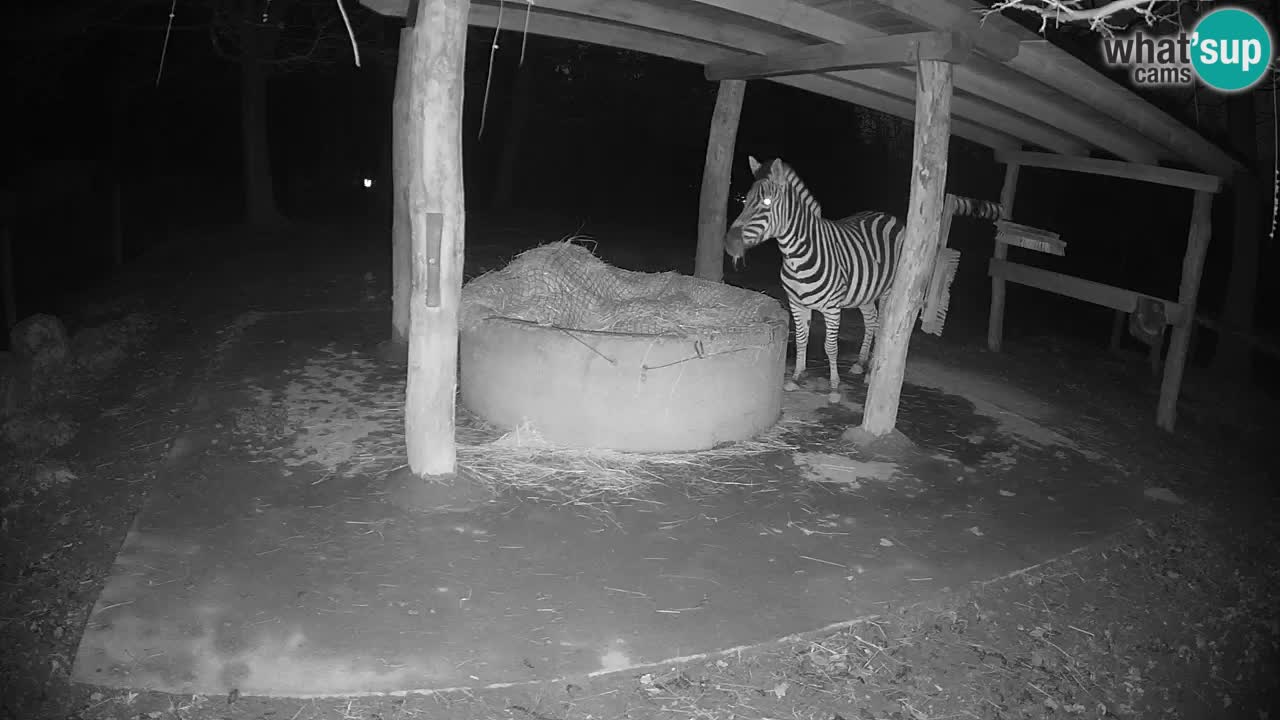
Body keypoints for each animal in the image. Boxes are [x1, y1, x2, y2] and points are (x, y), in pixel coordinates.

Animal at [724, 156, 905, 403]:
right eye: (744, 201)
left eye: (767, 202)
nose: (730, 245)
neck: (796, 257)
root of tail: (887, 214)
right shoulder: (796, 303)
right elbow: (802, 338)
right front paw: (796, 377)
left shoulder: (832, 308)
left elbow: (831, 346)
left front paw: (834, 388)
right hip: (865, 292)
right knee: (871, 322)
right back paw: (860, 364)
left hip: (888, 291)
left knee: (881, 327)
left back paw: (870, 373)